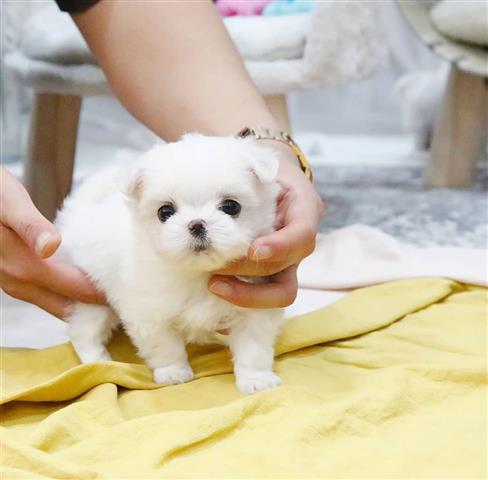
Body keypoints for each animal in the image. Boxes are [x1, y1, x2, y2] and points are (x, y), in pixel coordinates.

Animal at [56, 134, 286, 394]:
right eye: (164, 212)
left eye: (231, 206)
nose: (197, 224)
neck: (198, 273)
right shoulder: (149, 313)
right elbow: (164, 345)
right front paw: (173, 372)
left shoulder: (254, 306)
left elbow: (253, 348)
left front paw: (256, 380)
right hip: (92, 294)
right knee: (84, 330)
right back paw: (98, 361)